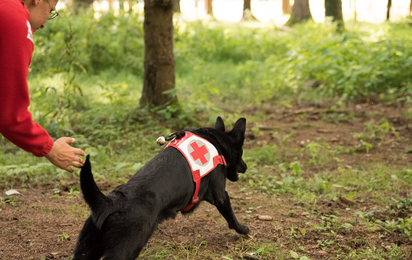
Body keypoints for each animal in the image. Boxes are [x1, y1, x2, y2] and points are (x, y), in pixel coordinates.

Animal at [72, 117, 249, 258]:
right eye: (241, 152)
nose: (246, 167)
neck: (215, 140)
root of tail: (112, 202)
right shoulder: (221, 196)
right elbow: (231, 217)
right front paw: (243, 229)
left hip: (85, 250)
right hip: (126, 249)